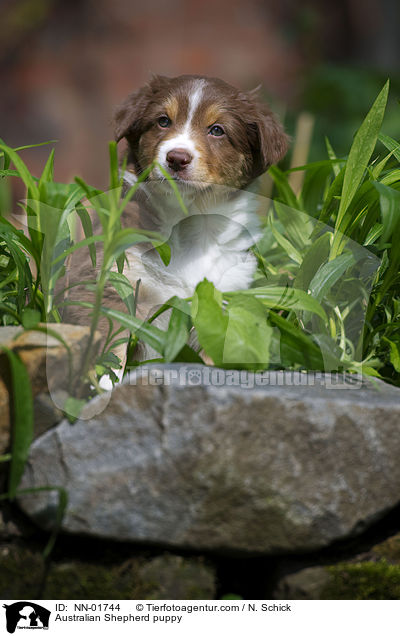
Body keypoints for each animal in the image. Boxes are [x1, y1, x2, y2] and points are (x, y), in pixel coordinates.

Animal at [65, 76, 288, 368]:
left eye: (217, 130)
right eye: (163, 121)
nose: (176, 158)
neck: (186, 223)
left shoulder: (221, 303)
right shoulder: (112, 287)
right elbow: (110, 358)